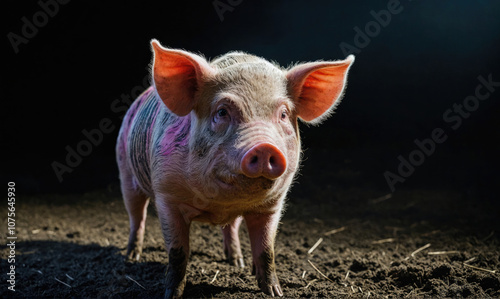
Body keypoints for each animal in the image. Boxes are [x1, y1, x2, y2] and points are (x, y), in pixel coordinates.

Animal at [115, 39, 354, 298]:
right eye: (222, 112)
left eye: (283, 114)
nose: (265, 147)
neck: (220, 204)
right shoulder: (167, 195)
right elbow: (178, 252)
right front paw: (171, 294)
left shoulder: (273, 204)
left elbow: (266, 250)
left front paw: (274, 292)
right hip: (125, 171)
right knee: (136, 216)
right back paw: (131, 257)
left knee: (231, 227)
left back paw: (236, 262)